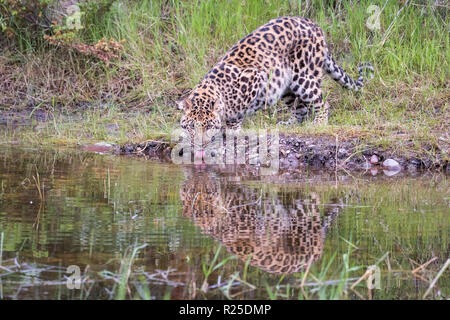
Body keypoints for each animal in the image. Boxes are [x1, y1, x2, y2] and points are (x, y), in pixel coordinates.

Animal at [178, 16, 374, 159]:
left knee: (321, 102)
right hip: (285, 87)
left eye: (208, 126)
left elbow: (236, 117)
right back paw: (289, 124)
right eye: (192, 126)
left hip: (303, 77)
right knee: (300, 110)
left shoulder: (255, 79)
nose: (201, 144)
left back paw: (319, 122)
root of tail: (313, 24)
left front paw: (231, 131)